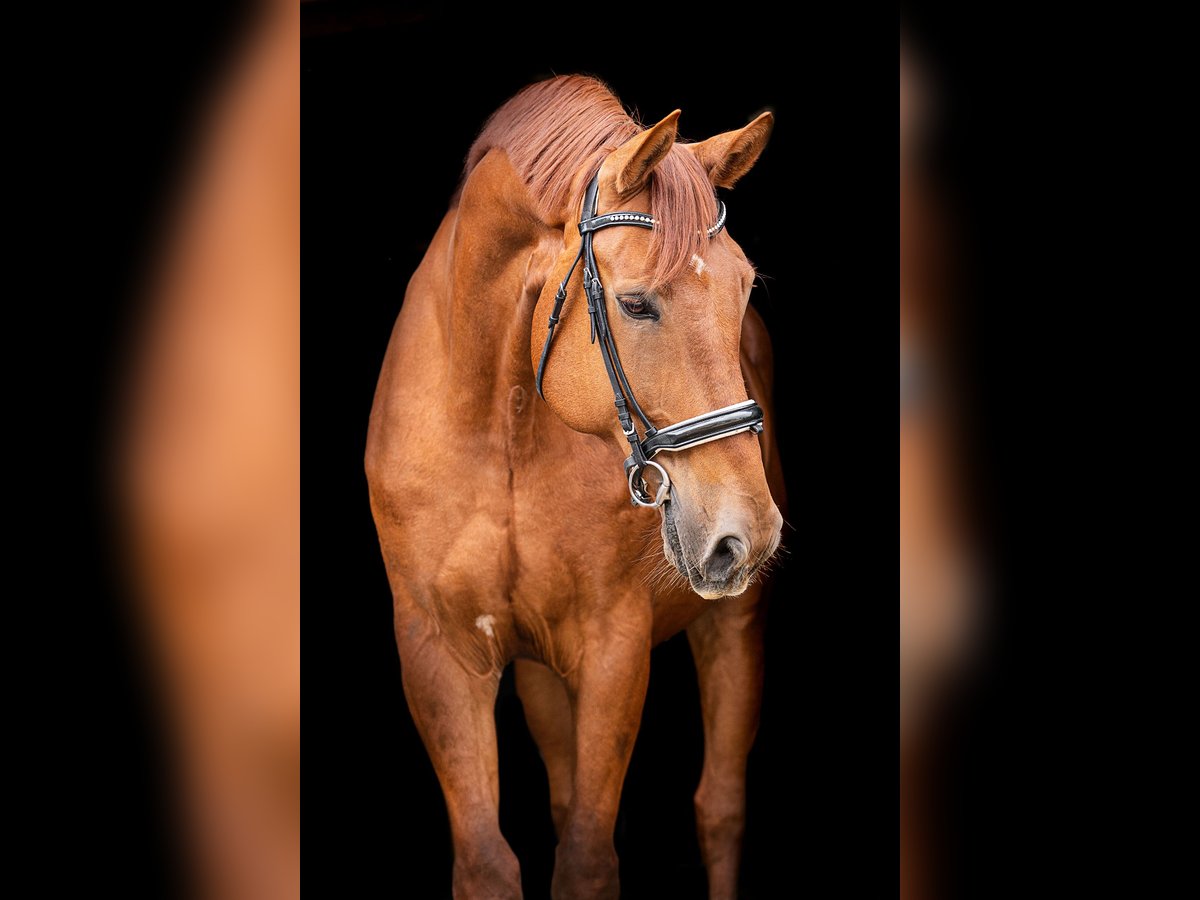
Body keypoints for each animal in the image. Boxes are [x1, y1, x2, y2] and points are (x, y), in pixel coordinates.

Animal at [364, 79, 787, 900]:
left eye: (745, 287)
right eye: (635, 303)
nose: (745, 534)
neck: (499, 429)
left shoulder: (613, 647)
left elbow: (588, 858)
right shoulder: (438, 652)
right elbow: (486, 862)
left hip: (733, 623)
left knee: (720, 809)